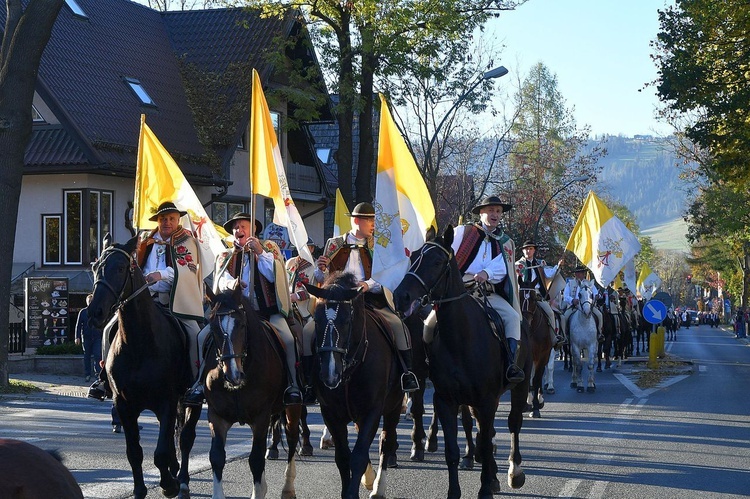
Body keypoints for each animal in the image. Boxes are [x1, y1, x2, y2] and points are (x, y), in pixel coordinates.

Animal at [87, 237, 203, 499]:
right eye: (95, 267)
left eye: (120, 268)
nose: (95, 312)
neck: (139, 344)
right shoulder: (124, 405)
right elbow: (135, 453)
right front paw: (140, 490)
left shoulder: (167, 401)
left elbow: (160, 453)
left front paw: (169, 484)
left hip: (191, 401)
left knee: (186, 438)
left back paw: (182, 482)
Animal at [206, 288, 302, 498]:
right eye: (213, 327)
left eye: (242, 325)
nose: (232, 375)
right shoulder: (216, 416)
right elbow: (217, 457)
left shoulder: (260, 417)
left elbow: (256, 460)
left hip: (293, 408)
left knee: (292, 439)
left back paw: (288, 488)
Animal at [308, 274, 408, 499]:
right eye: (316, 320)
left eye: (346, 321)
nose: (330, 374)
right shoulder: (331, 413)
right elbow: (343, 457)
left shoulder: (372, 411)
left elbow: (359, 455)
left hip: (393, 406)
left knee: (386, 442)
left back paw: (378, 487)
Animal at [394, 228, 536, 499]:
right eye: (414, 256)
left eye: (437, 262)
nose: (400, 297)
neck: (461, 339)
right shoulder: (447, 400)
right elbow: (453, 450)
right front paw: (457, 490)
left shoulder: (487, 399)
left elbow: (488, 439)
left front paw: (485, 489)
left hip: (520, 385)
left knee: (513, 423)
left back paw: (514, 472)